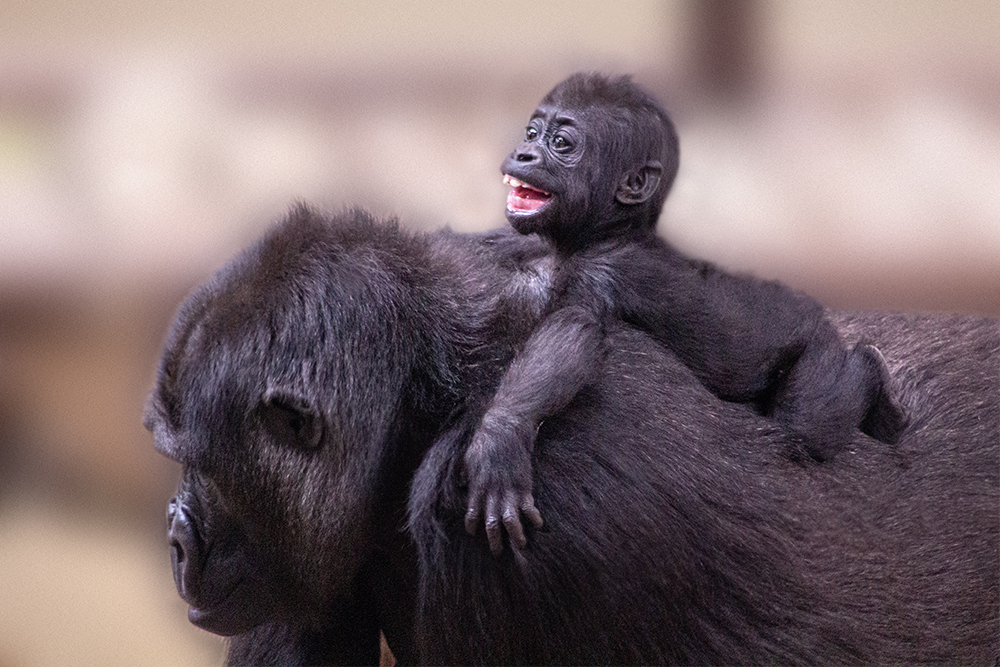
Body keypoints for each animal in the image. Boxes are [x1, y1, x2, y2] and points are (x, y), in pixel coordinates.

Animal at [464, 73, 912, 556]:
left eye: (561, 143)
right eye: (532, 134)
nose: (524, 153)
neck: (597, 232)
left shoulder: (603, 271)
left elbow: (574, 330)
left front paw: (502, 435)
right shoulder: (520, 242)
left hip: (816, 346)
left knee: (811, 423)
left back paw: (874, 377)